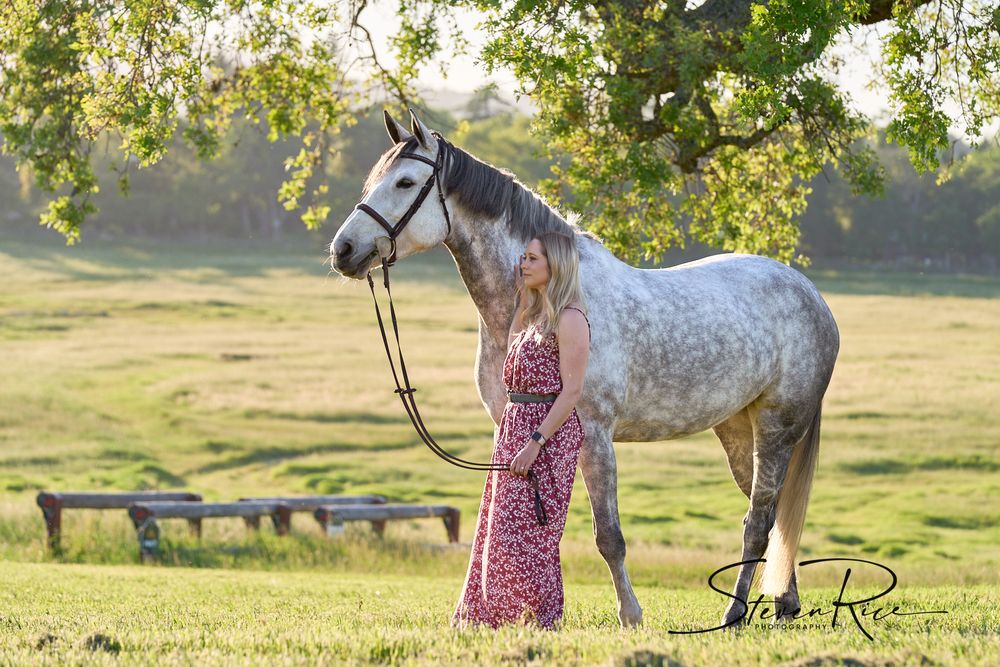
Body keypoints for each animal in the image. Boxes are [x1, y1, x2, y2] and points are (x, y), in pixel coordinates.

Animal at [330, 110, 839, 629]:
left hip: (776, 428)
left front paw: (630, 615)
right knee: (772, 517)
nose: (343, 250)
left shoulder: (593, 434)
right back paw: (783, 606)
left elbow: (608, 536)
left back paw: (735, 614)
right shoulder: (509, 427)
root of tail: (810, 294)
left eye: (405, 182)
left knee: (759, 524)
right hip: (738, 430)